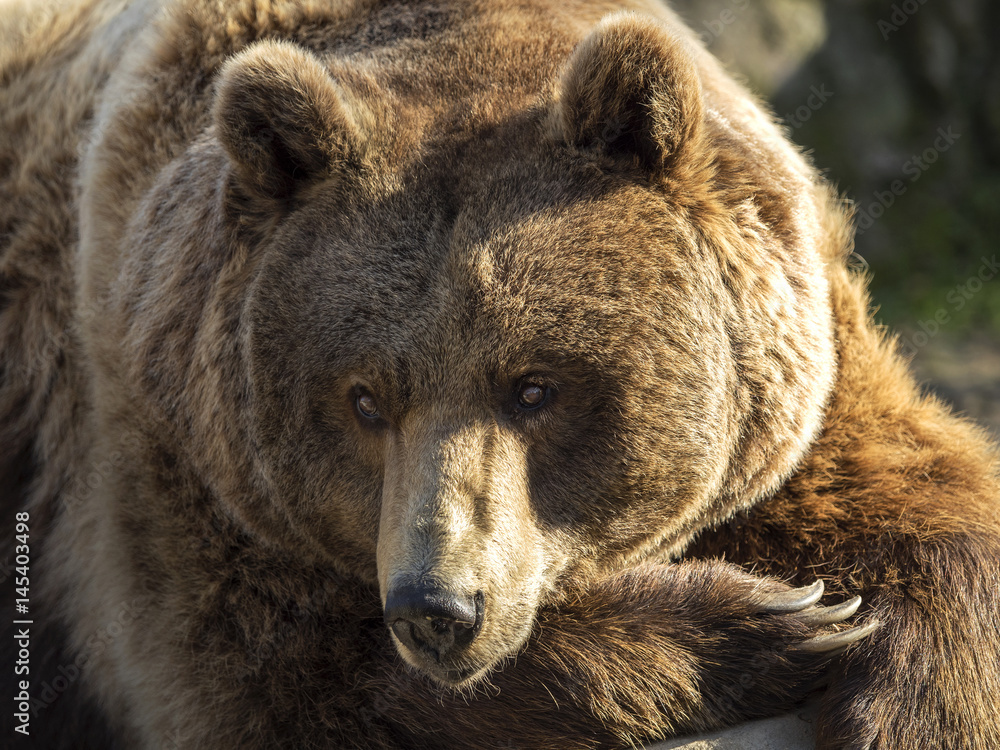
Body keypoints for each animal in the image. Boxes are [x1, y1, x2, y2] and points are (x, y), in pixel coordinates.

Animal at [1, 0, 1000, 748]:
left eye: (535, 386)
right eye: (365, 398)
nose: (438, 607)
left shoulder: (798, 376)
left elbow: (926, 511)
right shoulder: (174, 453)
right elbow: (280, 685)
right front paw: (768, 620)